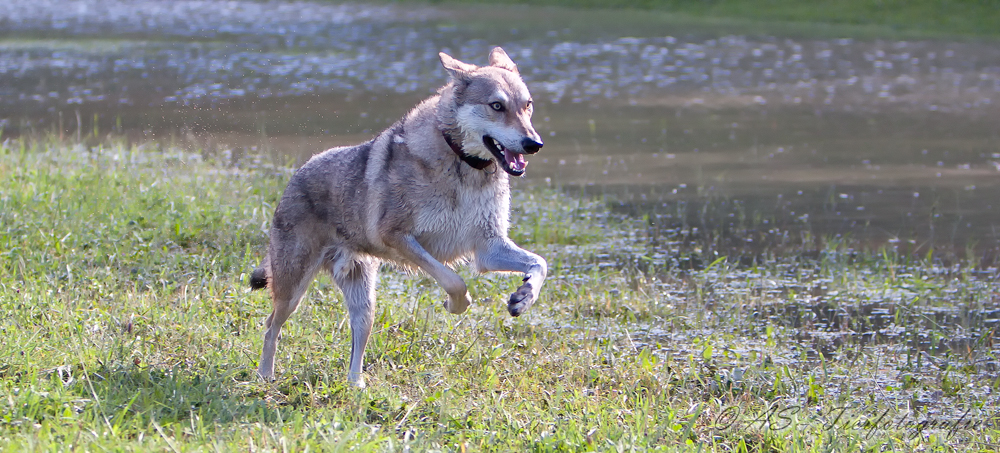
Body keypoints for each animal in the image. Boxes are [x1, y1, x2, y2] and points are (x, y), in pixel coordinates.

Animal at [248, 46, 548, 388]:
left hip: (364, 302)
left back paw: (356, 387)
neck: (462, 165)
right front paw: (455, 305)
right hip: (292, 291)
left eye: (527, 106)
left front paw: (524, 296)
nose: (534, 144)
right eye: (497, 106)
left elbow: (540, 264)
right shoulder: (400, 238)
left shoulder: (488, 248)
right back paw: (265, 376)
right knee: (270, 325)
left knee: (355, 344)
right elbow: (455, 281)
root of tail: (298, 172)